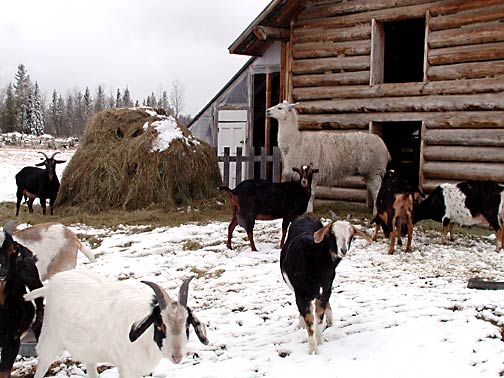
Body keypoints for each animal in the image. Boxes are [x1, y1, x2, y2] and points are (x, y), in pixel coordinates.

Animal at [24, 270, 207, 376]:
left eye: (187, 325)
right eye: (160, 325)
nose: (177, 356)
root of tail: (52, 283)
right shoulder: (128, 367)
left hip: (88, 350)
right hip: (50, 338)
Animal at [280, 214, 370, 352]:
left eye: (351, 235)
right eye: (333, 233)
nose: (343, 250)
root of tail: (306, 216)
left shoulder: (325, 288)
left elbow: (319, 317)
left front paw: (320, 341)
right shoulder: (301, 294)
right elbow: (309, 320)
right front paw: (313, 350)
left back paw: (330, 320)